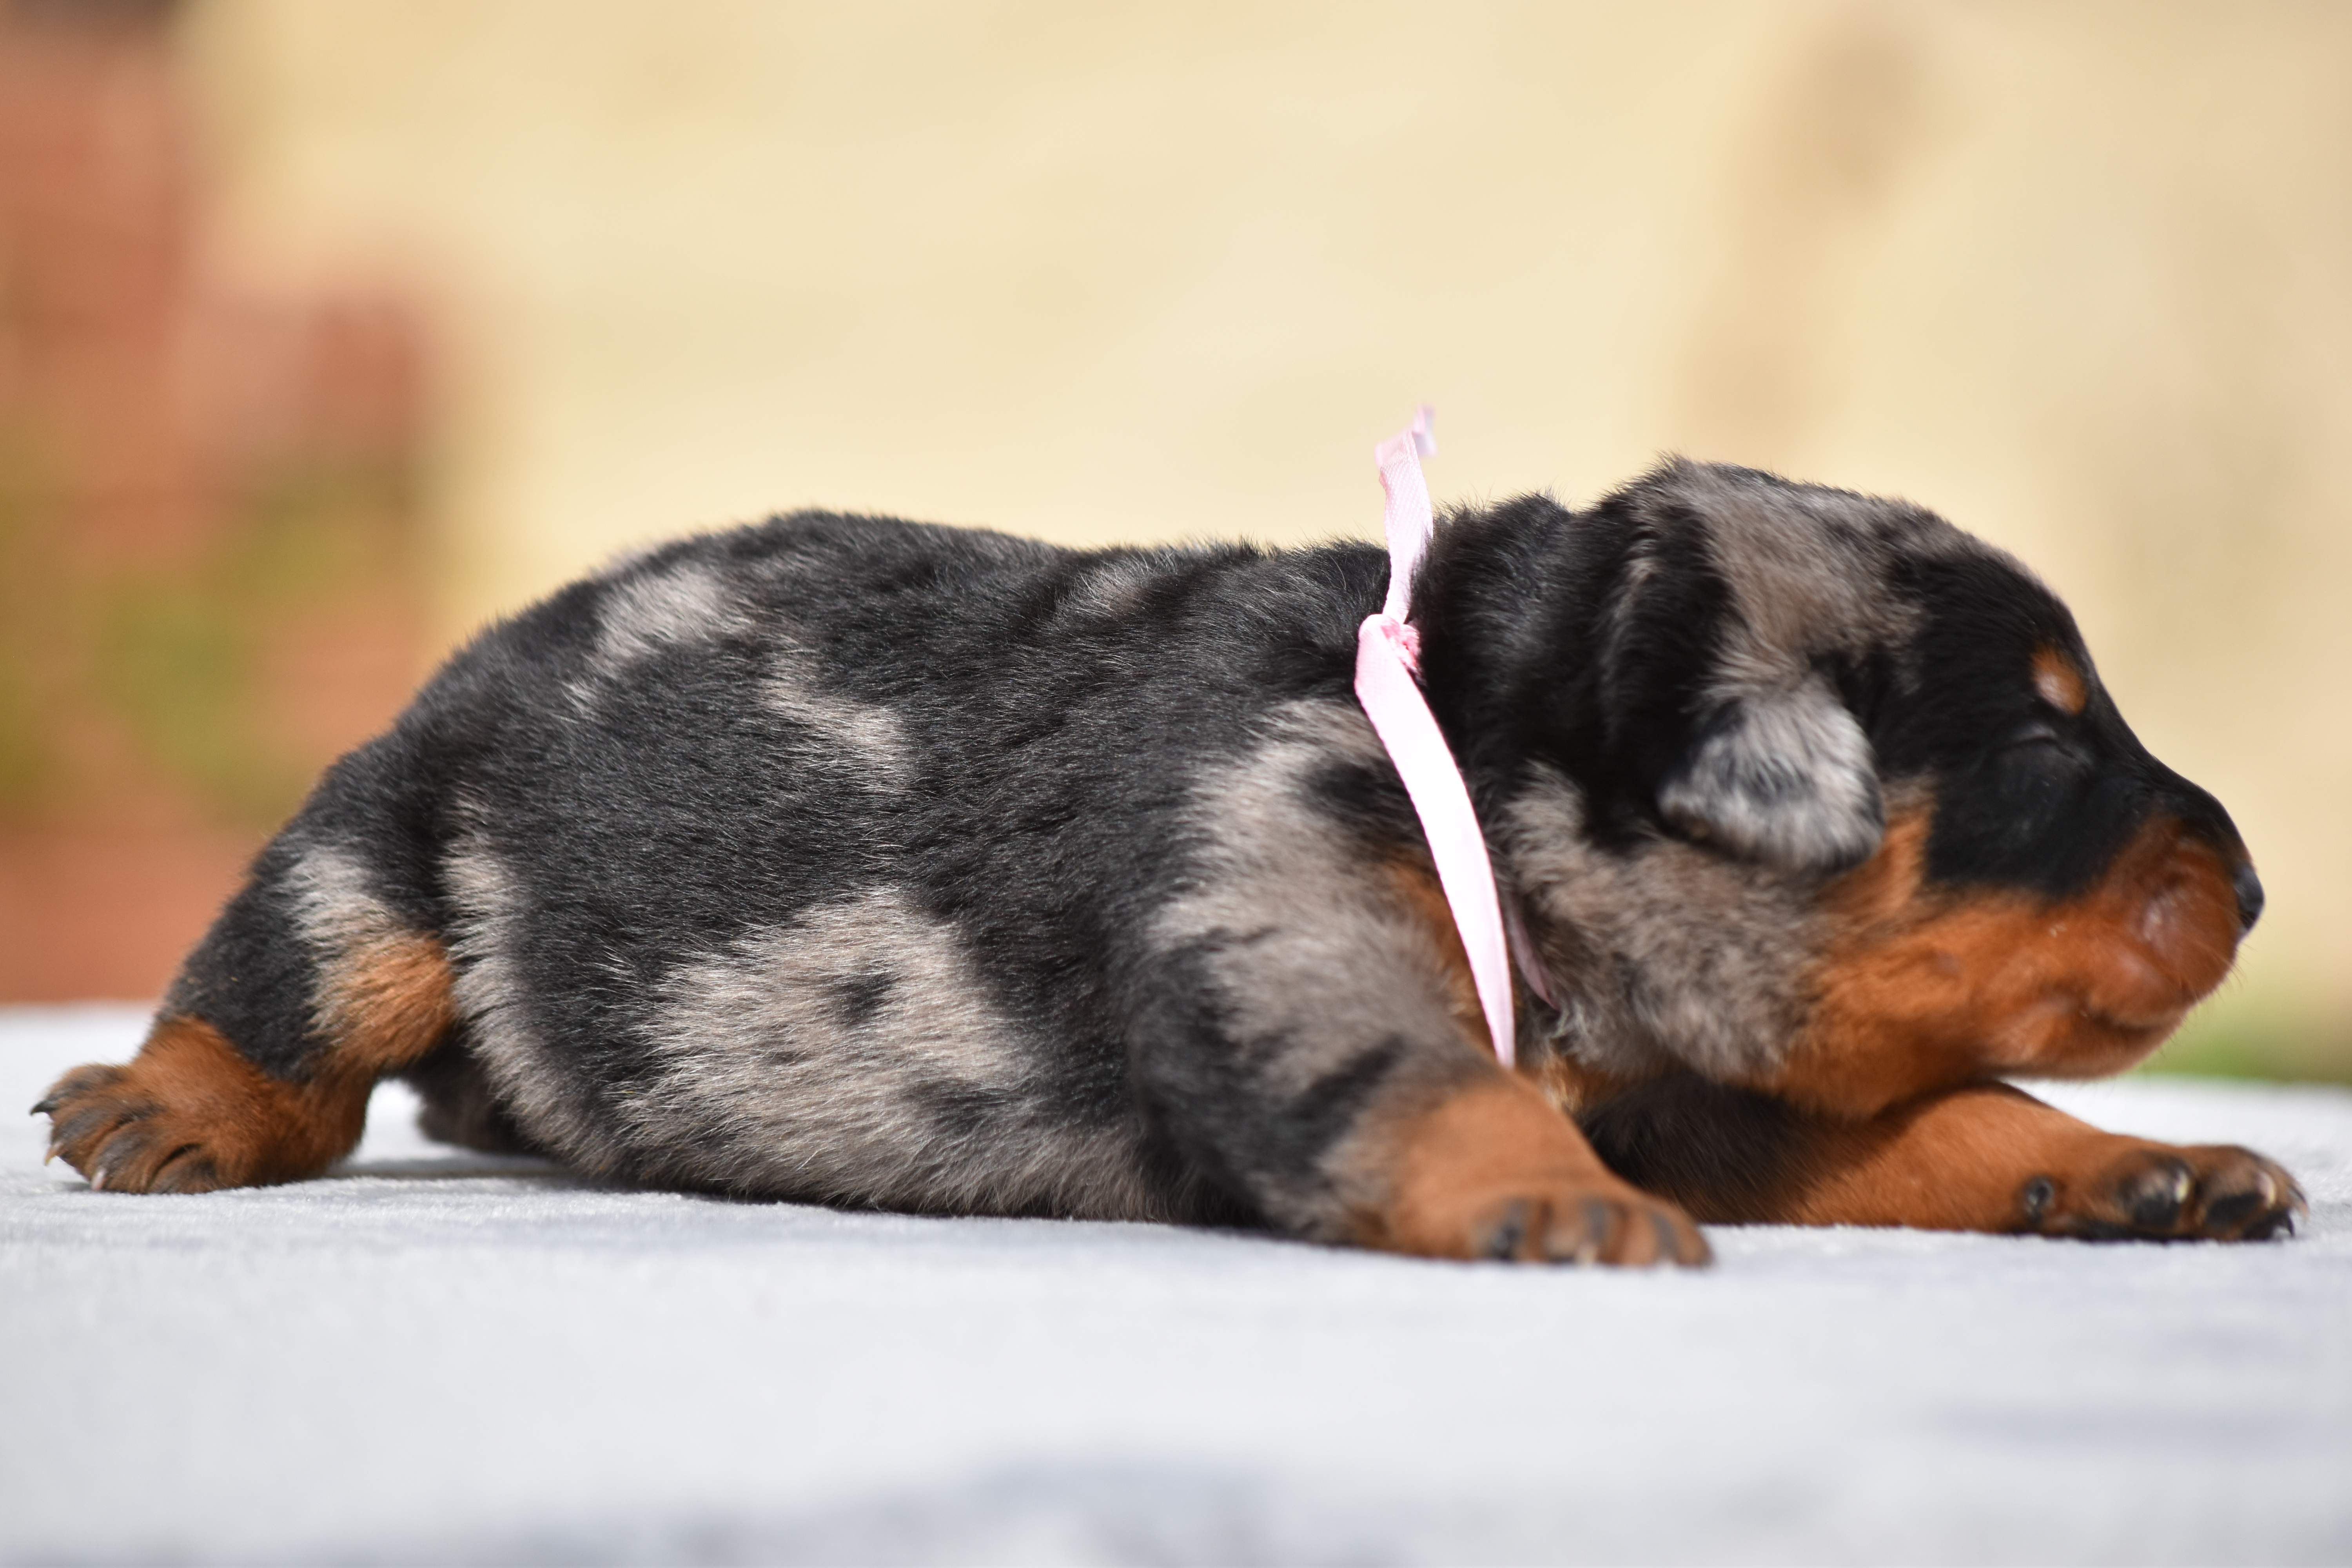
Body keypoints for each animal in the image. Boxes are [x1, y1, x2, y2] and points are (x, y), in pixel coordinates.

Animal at [36, 456, 2305, 1260]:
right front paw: (1554, 1202)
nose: (2262, 882)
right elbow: (1426, 1084)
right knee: (288, 987)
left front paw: (2151, 1169)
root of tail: (494, 642)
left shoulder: (1702, 1081)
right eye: (2044, 735)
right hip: (391, 835)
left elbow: (1940, 1122)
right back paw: (158, 1108)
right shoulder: (1271, 905)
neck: (1473, 746)